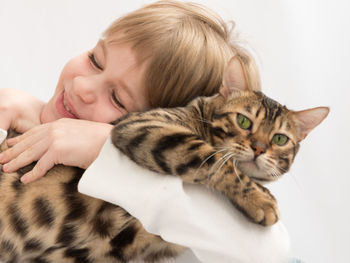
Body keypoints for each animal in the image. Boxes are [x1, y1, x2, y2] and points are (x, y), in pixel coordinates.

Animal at [0, 58, 328, 262]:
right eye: (244, 121)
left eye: (280, 139)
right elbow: (212, 158)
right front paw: (261, 200)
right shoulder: (144, 125)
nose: (259, 148)